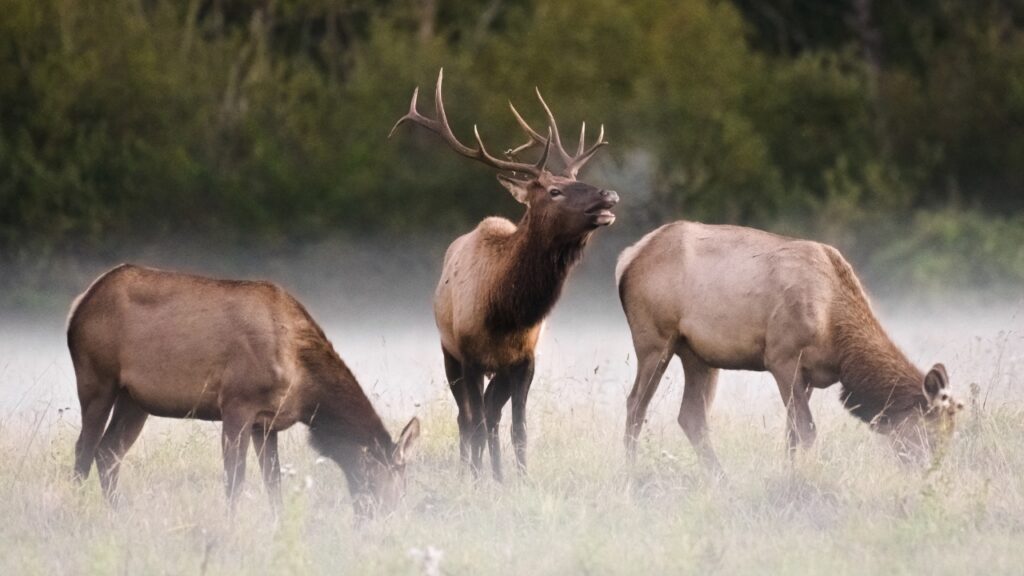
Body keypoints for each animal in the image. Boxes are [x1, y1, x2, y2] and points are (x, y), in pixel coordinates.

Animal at [66, 264, 420, 520]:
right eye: (394, 479)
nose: (390, 517)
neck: (305, 388)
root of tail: (78, 305)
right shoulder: (237, 404)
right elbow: (235, 481)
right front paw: (230, 525)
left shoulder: (266, 423)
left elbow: (273, 483)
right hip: (97, 380)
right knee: (84, 450)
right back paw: (78, 514)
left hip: (134, 400)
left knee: (108, 452)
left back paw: (119, 515)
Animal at [389, 70, 618, 480]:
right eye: (555, 191)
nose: (608, 196)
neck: (505, 314)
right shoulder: (468, 356)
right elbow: (475, 423)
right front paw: (476, 479)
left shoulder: (525, 360)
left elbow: (518, 429)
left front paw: (520, 479)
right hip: (449, 353)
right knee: (467, 417)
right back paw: (473, 470)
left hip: (501, 372)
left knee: (492, 415)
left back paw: (496, 473)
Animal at [616, 221, 962, 473]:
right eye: (931, 434)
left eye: (950, 436)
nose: (932, 473)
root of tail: (627, 258)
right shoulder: (782, 357)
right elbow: (806, 431)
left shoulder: (808, 376)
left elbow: (791, 435)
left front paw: (790, 474)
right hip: (654, 340)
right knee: (635, 405)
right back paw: (631, 475)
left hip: (698, 354)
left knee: (692, 417)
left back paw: (720, 479)